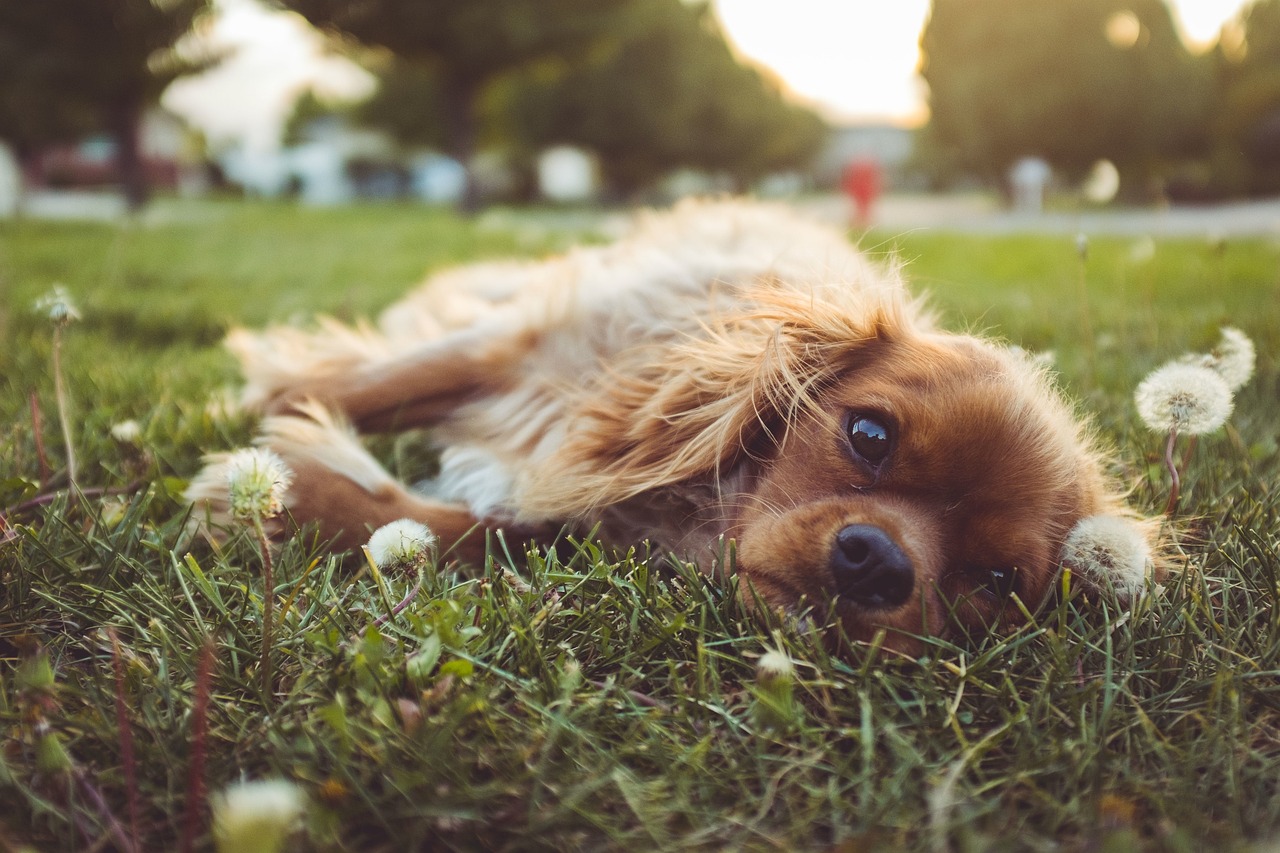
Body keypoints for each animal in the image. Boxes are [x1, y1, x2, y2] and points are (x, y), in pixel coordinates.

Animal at [192, 201, 1162, 650]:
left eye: (993, 581)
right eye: (869, 436)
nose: (879, 562)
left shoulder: (569, 518)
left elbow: (464, 531)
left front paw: (292, 498)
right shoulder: (524, 350)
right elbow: (373, 383)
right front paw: (265, 433)